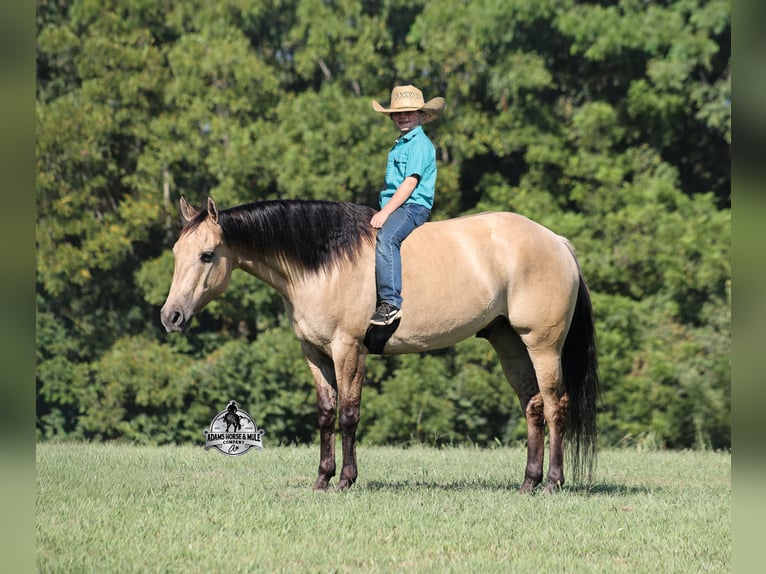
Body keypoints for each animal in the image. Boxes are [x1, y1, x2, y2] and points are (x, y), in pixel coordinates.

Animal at [161, 196, 599, 493]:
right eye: (177, 252)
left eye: (207, 255)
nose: (171, 316)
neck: (323, 263)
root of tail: (556, 241)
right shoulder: (314, 354)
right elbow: (326, 415)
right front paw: (322, 479)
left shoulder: (348, 350)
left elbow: (349, 415)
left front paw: (345, 480)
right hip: (509, 343)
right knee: (533, 407)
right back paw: (528, 482)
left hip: (542, 346)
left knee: (555, 406)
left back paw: (552, 482)